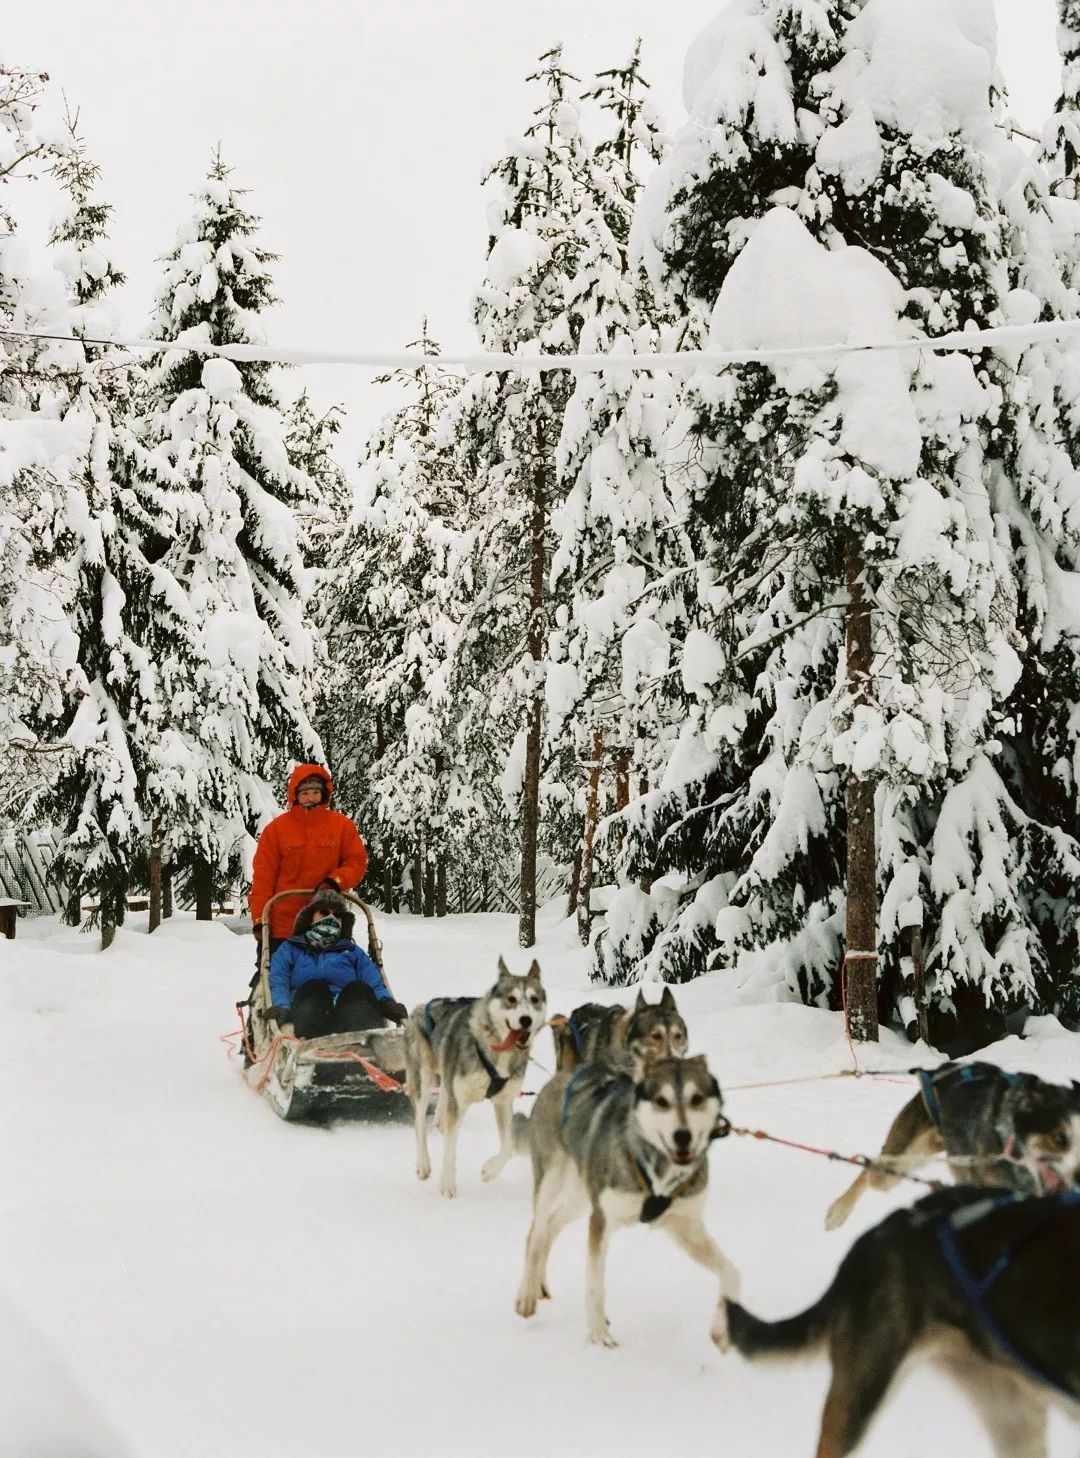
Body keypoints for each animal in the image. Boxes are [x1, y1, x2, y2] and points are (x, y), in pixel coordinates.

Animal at [399, 956, 542, 1195]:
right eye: (511, 999)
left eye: (535, 999)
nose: (526, 1020)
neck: (497, 1051)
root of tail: (417, 1010)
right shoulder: (458, 1103)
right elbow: (449, 1151)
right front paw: (447, 1184)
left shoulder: (503, 1102)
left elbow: (508, 1146)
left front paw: (490, 1170)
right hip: (423, 1081)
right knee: (420, 1124)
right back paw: (423, 1164)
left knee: (444, 1099)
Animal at [513, 1055, 731, 1347]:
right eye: (662, 1101)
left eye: (696, 1099)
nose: (682, 1135)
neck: (657, 1166)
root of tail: (559, 1077)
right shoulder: (601, 1220)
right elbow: (595, 1284)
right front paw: (598, 1335)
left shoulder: (687, 1228)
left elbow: (730, 1272)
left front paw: (722, 1326)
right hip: (551, 1182)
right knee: (535, 1234)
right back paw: (526, 1294)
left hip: (582, 1198)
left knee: (551, 1227)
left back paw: (539, 1284)